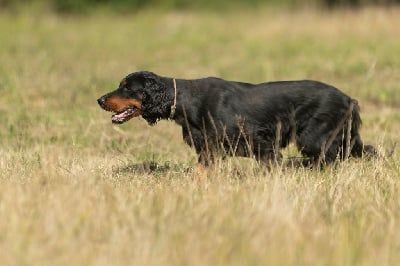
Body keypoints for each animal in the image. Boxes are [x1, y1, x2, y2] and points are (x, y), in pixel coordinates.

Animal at [97, 70, 376, 166]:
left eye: (126, 87)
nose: (99, 100)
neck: (187, 100)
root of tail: (348, 98)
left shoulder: (260, 142)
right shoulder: (209, 147)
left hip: (315, 137)